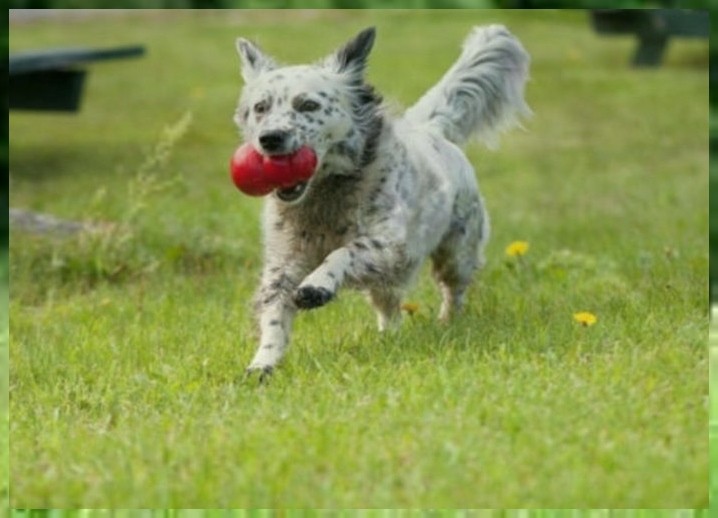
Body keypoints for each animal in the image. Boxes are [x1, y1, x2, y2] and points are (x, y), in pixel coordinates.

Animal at [233, 24, 532, 380]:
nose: (270, 138)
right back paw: (389, 336)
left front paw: (317, 285)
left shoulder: (390, 246)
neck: (325, 197)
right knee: (390, 307)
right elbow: (275, 313)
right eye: (260, 107)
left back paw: (447, 322)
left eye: (308, 105)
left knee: (454, 291)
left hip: (457, 253)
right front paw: (262, 363)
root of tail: (431, 128)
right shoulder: (284, 261)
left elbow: (342, 253)